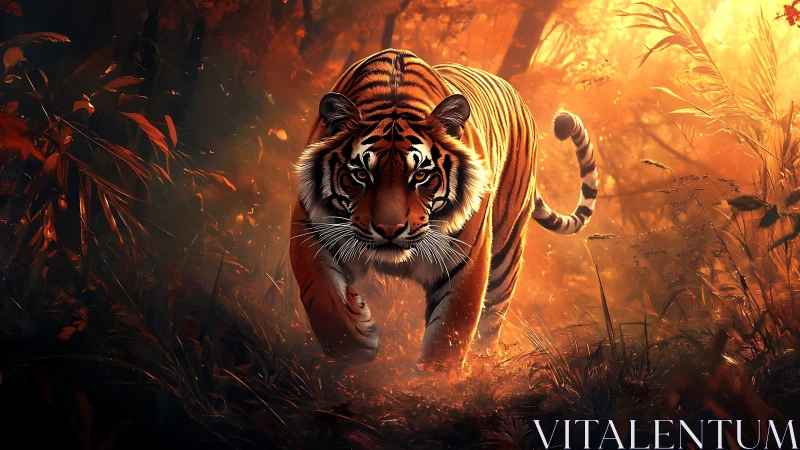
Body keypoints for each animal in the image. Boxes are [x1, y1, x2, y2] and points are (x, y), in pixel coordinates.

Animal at [290, 49, 597, 371]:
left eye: (421, 175)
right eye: (361, 174)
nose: (389, 230)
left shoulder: (468, 261)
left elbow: (449, 334)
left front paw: (433, 382)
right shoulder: (311, 232)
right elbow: (325, 301)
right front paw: (359, 341)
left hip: (506, 250)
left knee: (491, 321)